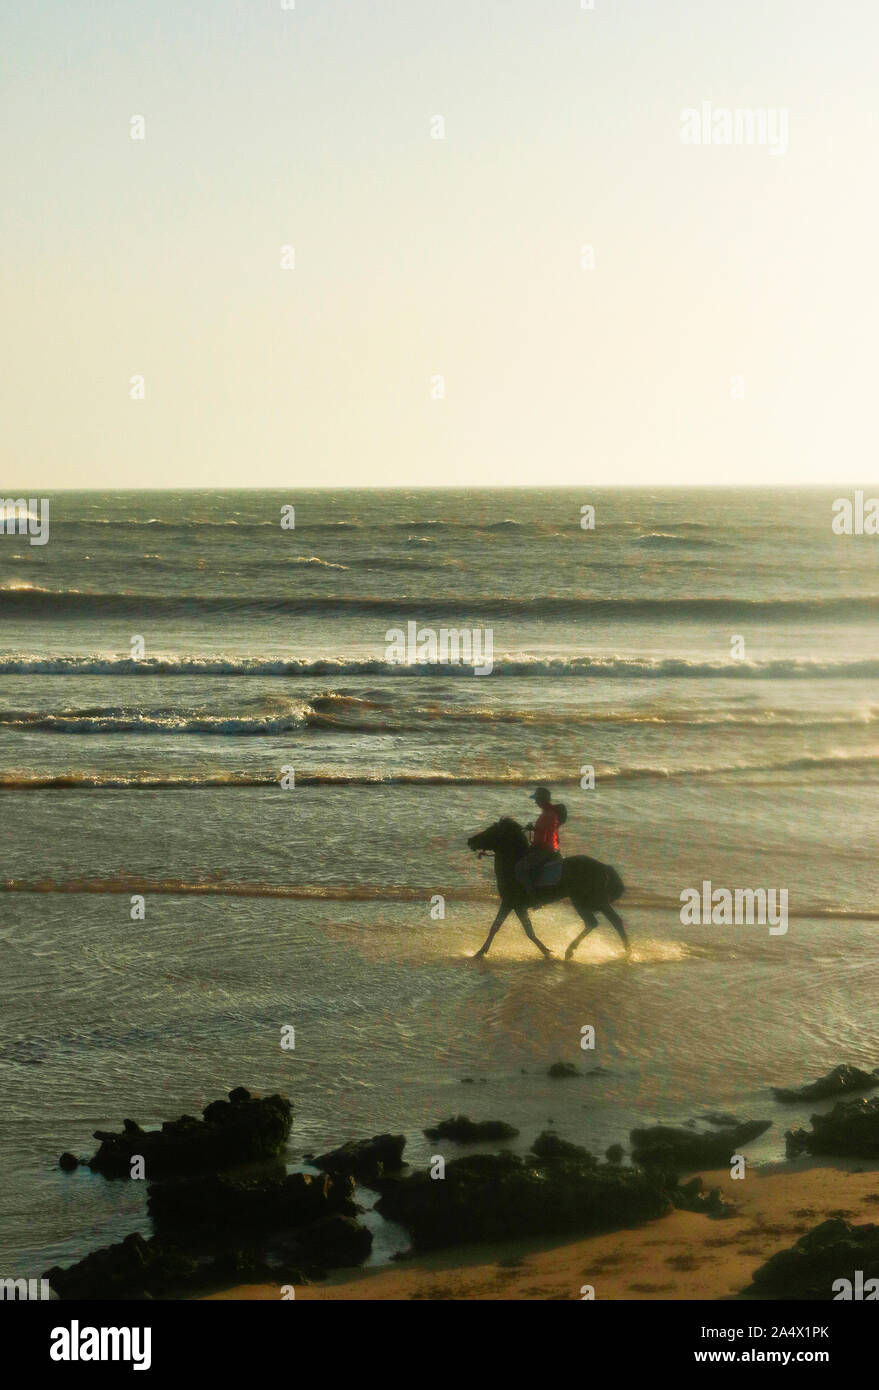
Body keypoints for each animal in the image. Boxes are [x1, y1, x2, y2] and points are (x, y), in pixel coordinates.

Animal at [464, 817, 628, 961]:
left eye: (491, 831)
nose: (470, 840)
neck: (513, 863)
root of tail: (603, 867)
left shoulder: (512, 903)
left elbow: (519, 930)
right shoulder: (513, 905)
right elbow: (509, 928)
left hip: (588, 901)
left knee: (604, 922)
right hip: (590, 901)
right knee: (603, 922)